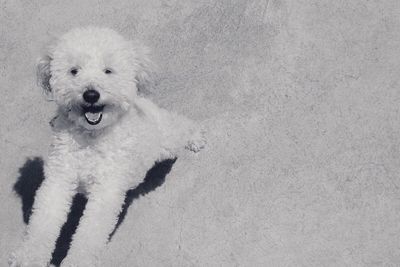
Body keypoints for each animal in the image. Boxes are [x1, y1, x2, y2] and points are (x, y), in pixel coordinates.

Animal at [10, 27, 205, 267]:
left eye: (108, 71)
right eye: (74, 71)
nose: (91, 94)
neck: (91, 138)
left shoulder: (106, 191)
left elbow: (89, 234)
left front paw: (77, 262)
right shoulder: (58, 179)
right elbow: (43, 222)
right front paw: (28, 257)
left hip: (166, 140)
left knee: (178, 126)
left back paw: (195, 136)